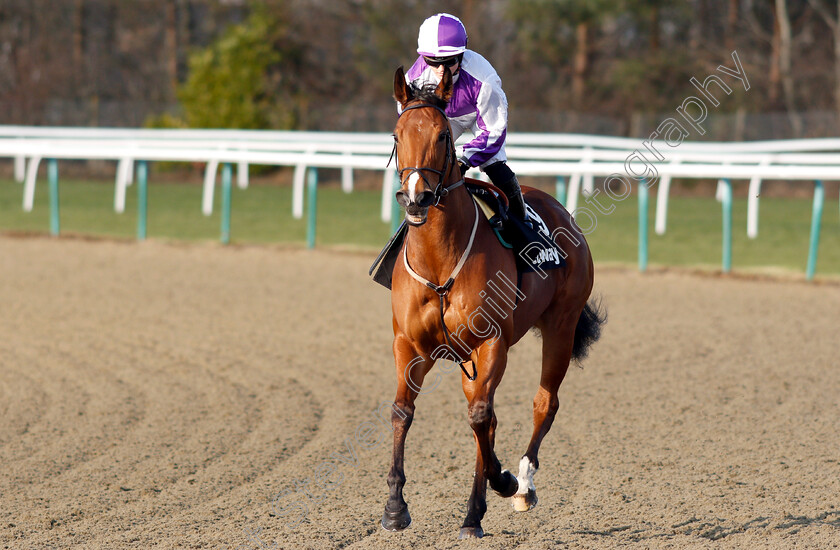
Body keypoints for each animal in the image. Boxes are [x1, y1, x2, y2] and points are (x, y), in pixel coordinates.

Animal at [380, 67, 604, 540]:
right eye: (396, 134)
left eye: (444, 135)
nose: (417, 197)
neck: (441, 261)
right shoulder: (409, 344)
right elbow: (403, 411)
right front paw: (394, 506)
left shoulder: (491, 342)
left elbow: (481, 417)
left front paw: (499, 485)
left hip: (561, 325)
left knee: (543, 404)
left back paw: (521, 486)